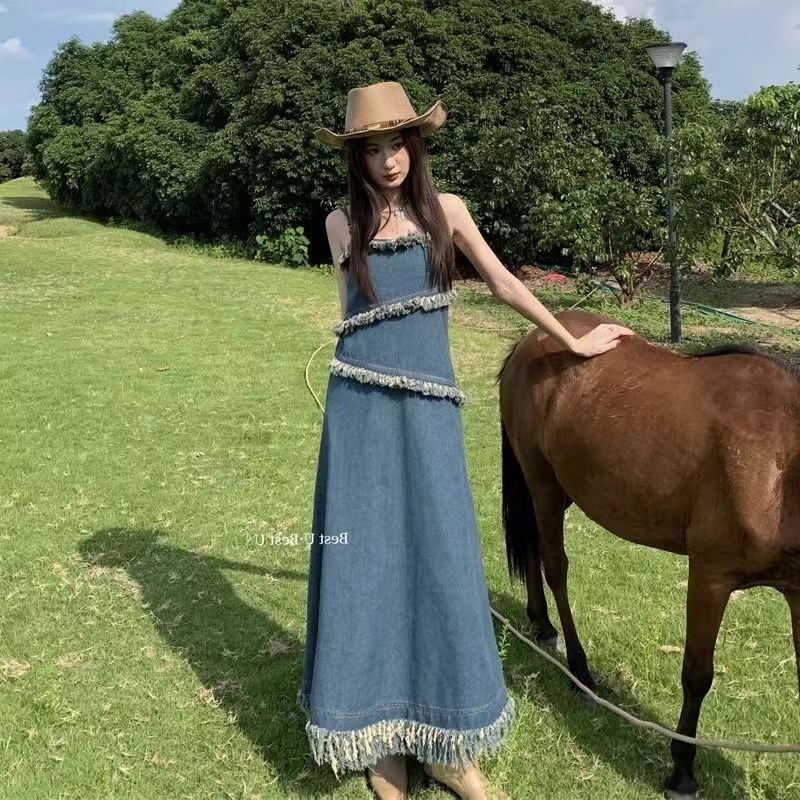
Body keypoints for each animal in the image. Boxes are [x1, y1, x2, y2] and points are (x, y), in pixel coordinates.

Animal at [496, 308, 800, 800]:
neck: (780, 465)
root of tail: (533, 338)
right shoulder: (711, 576)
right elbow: (697, 674)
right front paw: (682, 771)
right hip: (542, 485)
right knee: (554, 565)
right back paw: (580, 670)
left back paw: (542, 627)